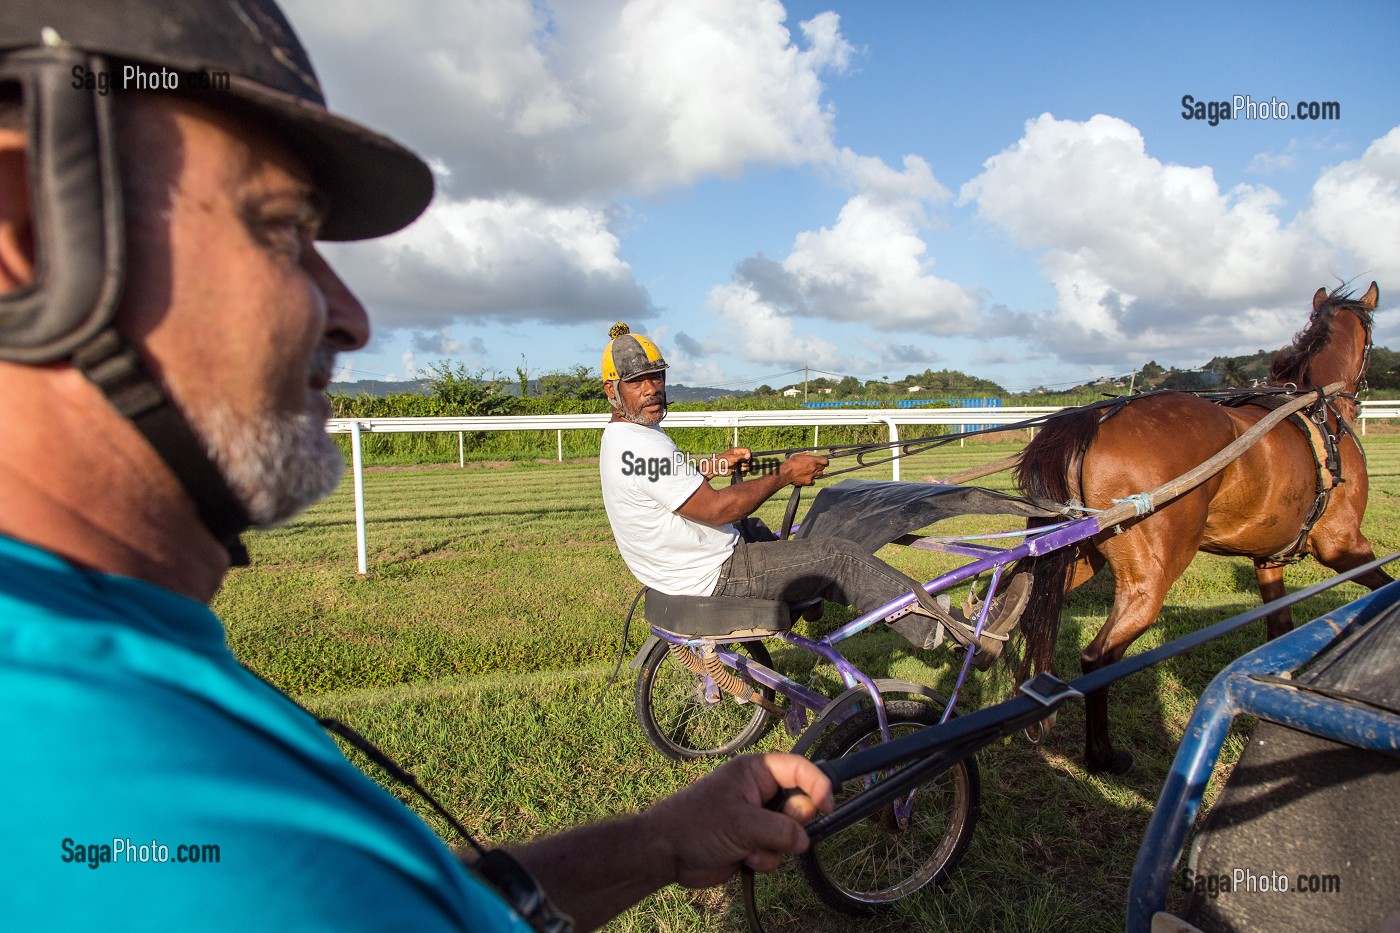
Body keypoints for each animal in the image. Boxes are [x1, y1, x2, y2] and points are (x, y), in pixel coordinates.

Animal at [1019, 281, 1388, 767]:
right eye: (1371, 340)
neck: (1318, 412)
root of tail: (1097, 417)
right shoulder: (1345, 546)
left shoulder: (1269, 560)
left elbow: (1279, 630)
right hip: (1150, 578)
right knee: (1098, 658)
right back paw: (1103, 755)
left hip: (1073, 559)